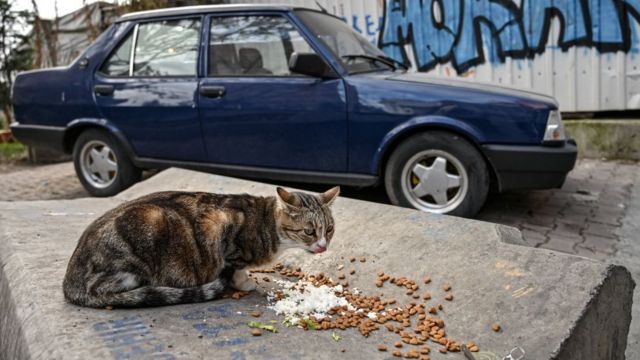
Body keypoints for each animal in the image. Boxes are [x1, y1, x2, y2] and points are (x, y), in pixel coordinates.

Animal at [63, 187, 340, 308]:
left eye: (329, 229)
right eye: (309, 231)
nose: (323, 247)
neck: (266, 222)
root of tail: (70, 281)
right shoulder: (221, 228)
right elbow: (236, 269)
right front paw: (244, 283)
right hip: (147, 225)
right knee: (104, 289)